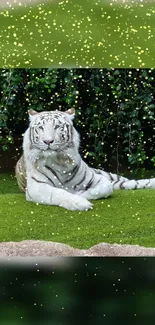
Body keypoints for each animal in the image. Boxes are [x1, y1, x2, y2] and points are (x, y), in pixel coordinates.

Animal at [15, 107, 155, 211]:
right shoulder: (36, 187)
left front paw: (80, 193)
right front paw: (79, 202)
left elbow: (105, 188)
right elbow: (58, 193)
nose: (48, 141)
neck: (59, 161)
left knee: (128, 182)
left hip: (108, 174)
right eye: (41, 127)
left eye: (57, 127)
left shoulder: (97, 178)